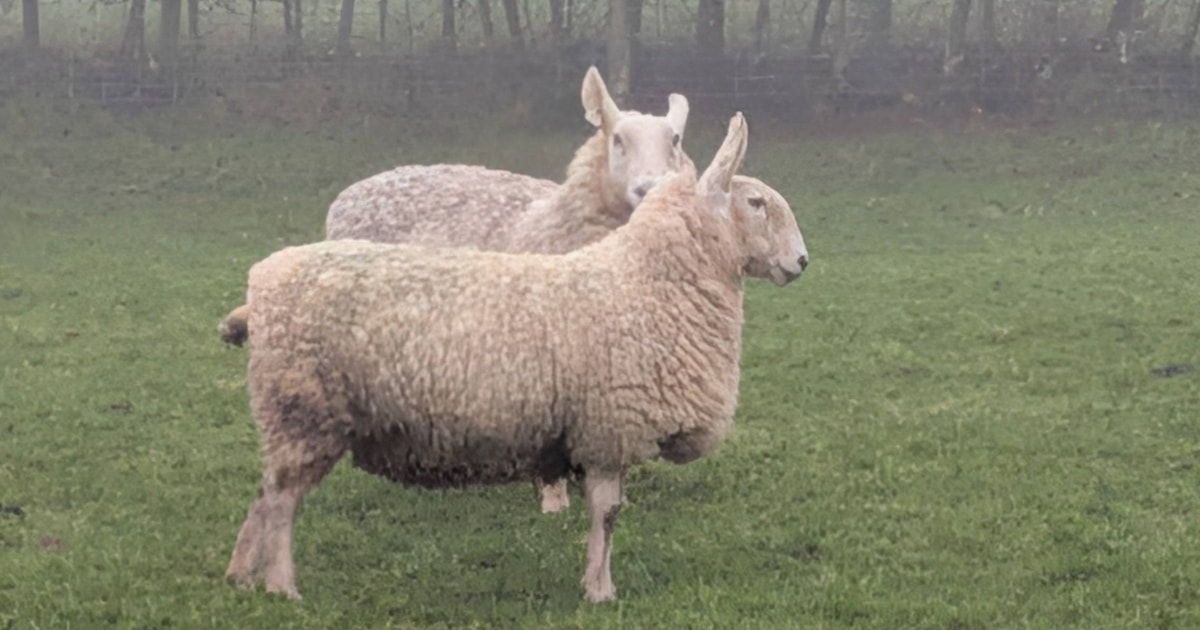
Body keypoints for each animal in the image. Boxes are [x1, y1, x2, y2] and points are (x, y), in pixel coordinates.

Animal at [222, 112, 809, 603]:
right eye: (756, 203)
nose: (802, 261)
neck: (642, 279)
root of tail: (263, 284)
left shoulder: (601, 429)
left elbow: (608, 511)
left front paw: (596, 583)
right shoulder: (609, 427)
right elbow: (608, 513)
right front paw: (601, 590)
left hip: (292, 418)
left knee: (267, 492)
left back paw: (242, 575)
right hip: (303, 409)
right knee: (281, 501)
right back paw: (282, 587)